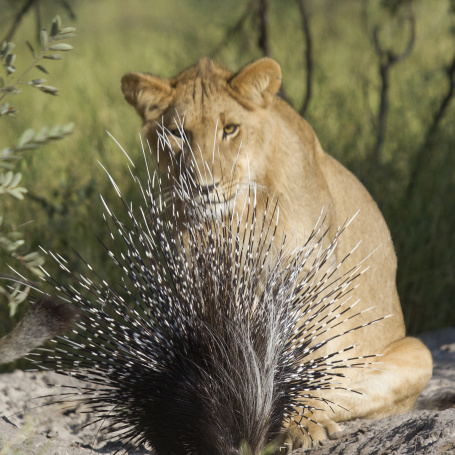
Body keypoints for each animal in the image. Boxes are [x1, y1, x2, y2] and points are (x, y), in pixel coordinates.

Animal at [120, 57, 432, 448]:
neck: (230, 220)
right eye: (177, 133)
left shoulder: (309, 279)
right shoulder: (195, 285)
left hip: (418, 353)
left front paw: (302, 424)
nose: (203, 187)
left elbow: (307, 359)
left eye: (230, 129)